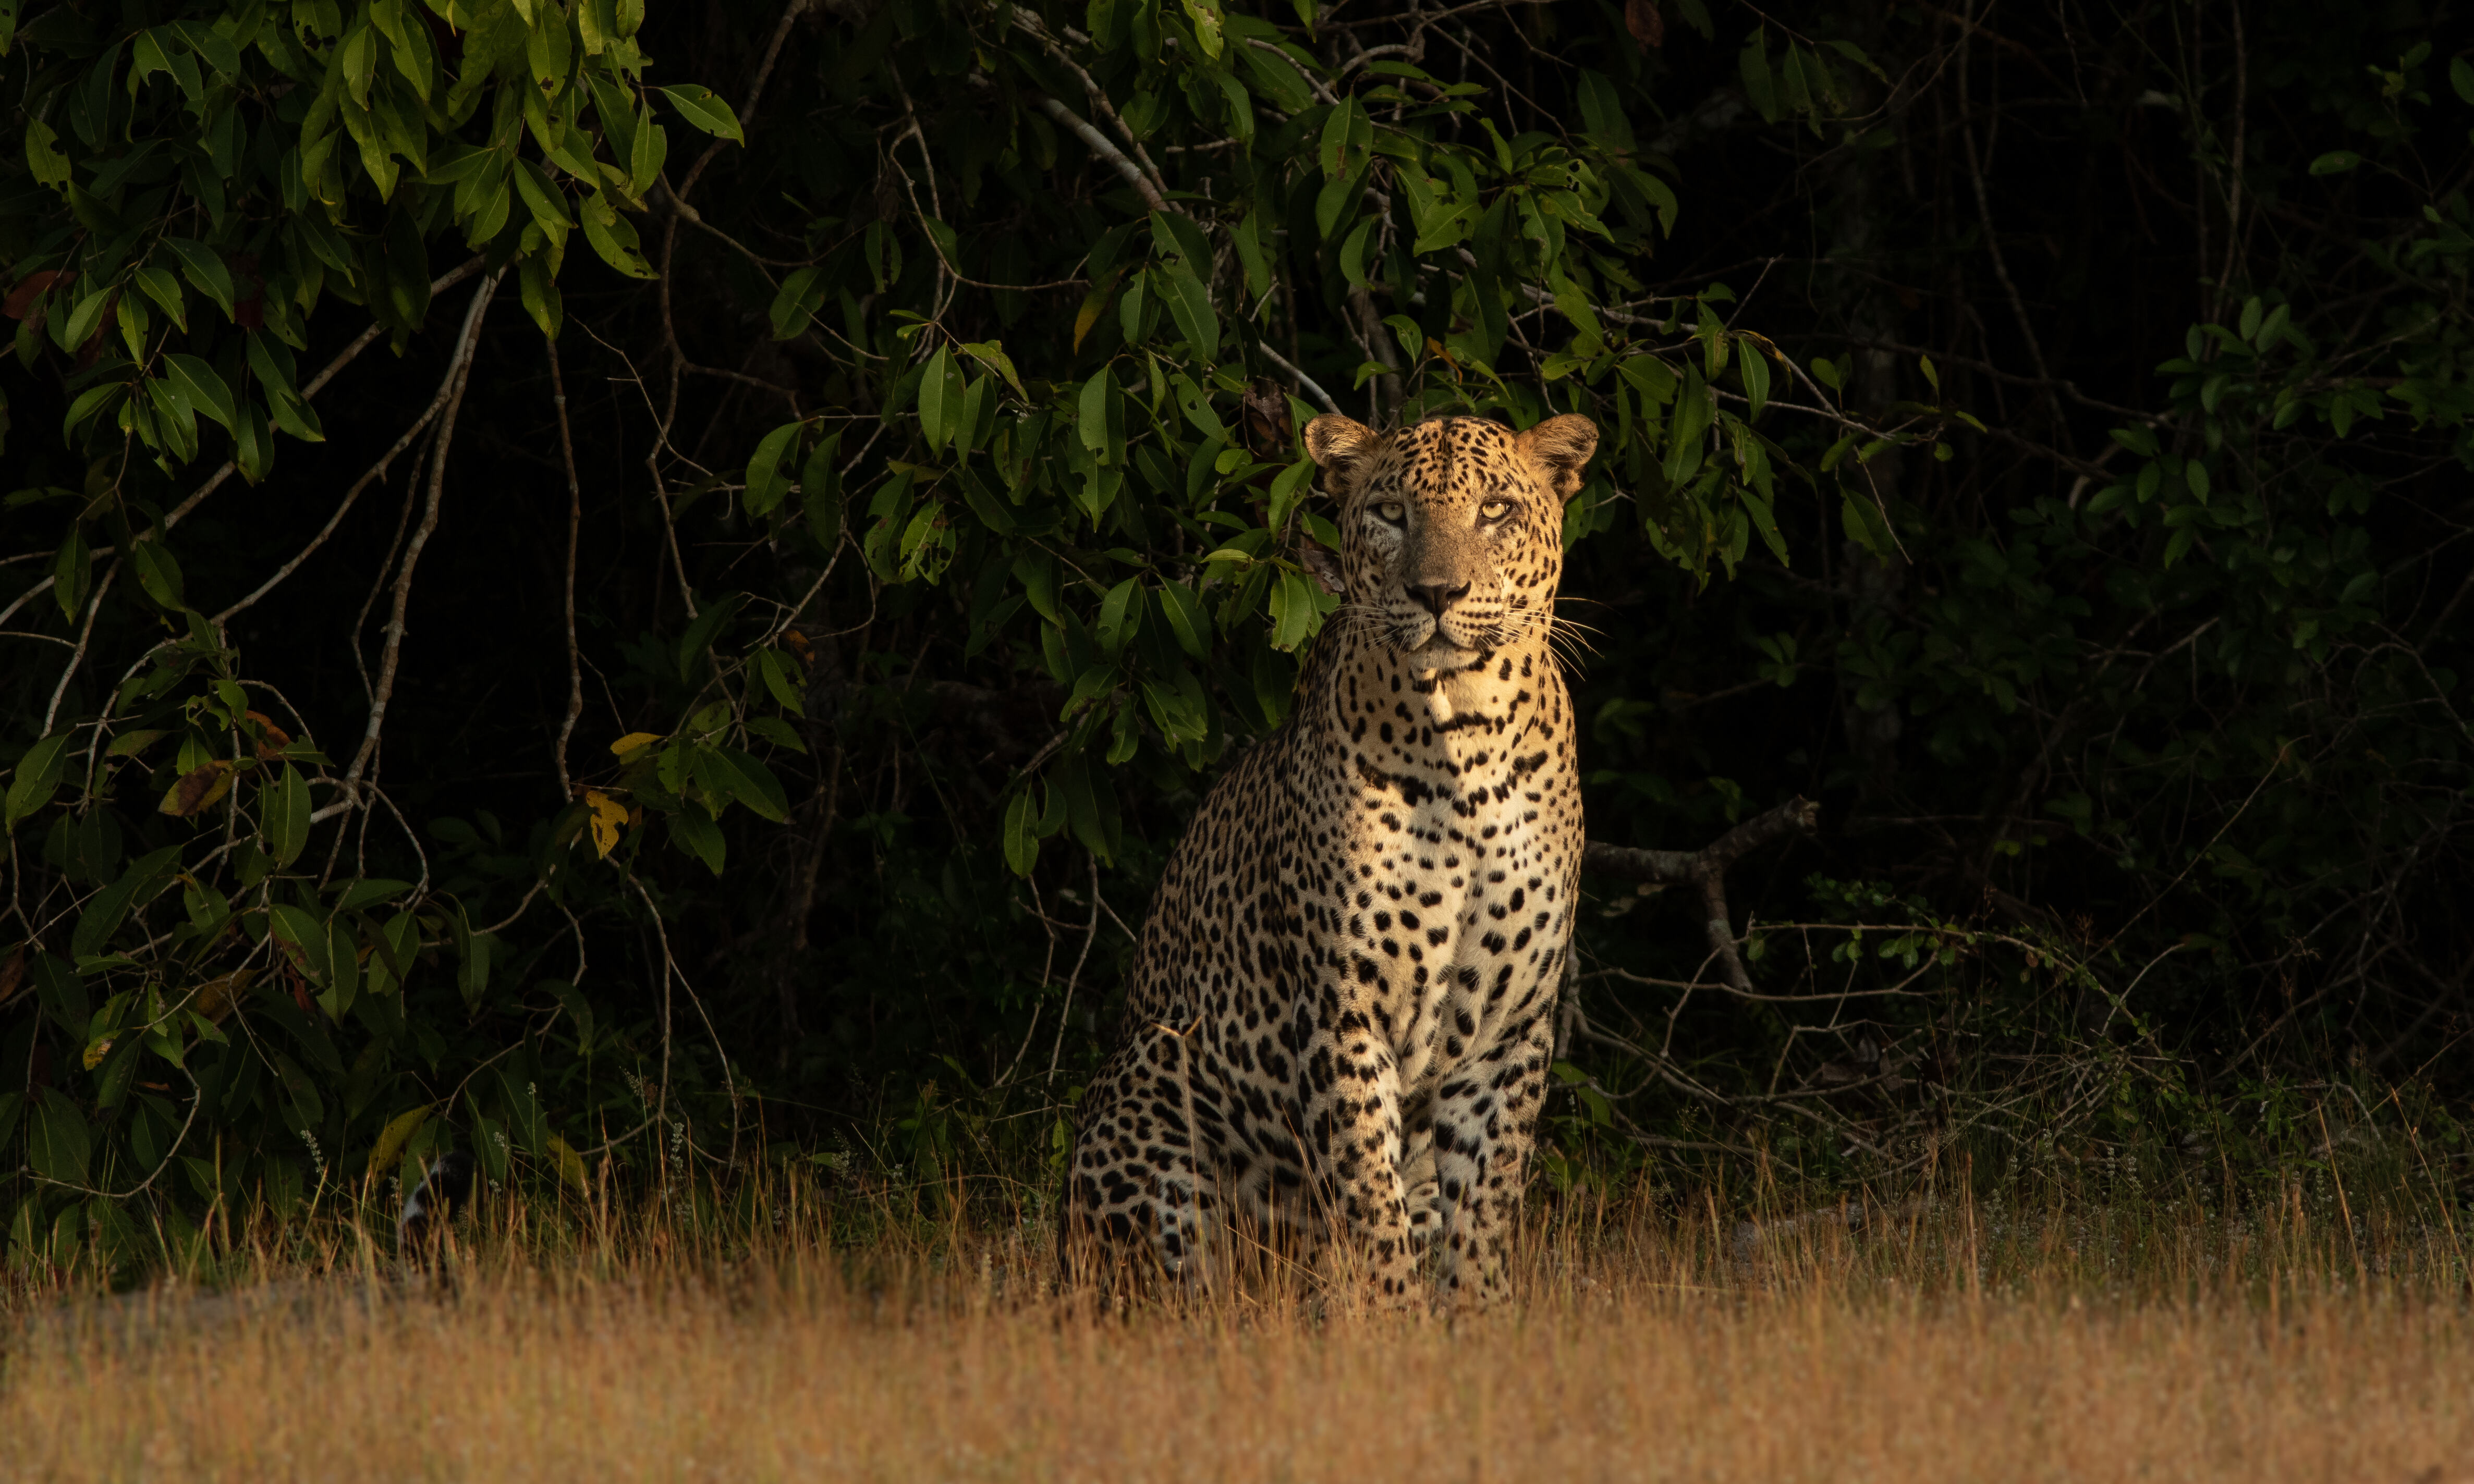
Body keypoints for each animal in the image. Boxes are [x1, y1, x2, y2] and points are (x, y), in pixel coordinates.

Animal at [1054, 408, 1593, 1306]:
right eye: (1389, 514)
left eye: (1495, 511)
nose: (1436, 594)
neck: (1467, 741)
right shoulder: (1343, 1009)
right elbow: (1371, 1203)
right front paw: (1395, 1319)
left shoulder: (1509, 1029)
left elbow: (1485, 1207)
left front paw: (1480, 1319)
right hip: (1153, 1093)